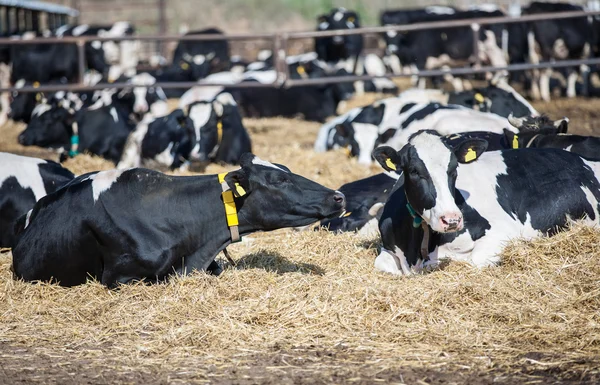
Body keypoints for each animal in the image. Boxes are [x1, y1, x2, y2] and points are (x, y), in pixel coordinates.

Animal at [376, 130, 600, 274]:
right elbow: (382, 264)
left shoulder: (503, 230)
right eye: (414, 171)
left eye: (454, 168)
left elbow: (474, 261)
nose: (451, 220)